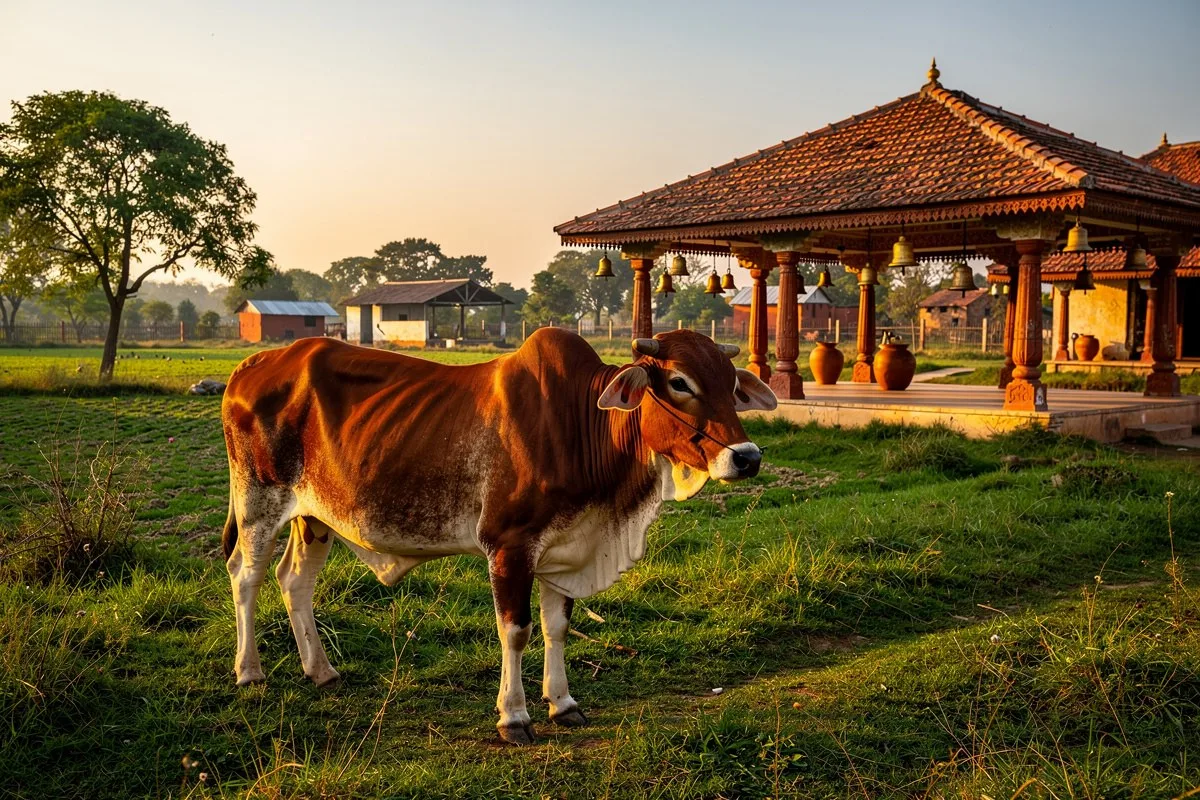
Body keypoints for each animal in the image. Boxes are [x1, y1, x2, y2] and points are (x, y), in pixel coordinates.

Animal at [220, 328, 777, 744]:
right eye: (680, 382)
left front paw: (563, 703)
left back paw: (321, 670)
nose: (747, 457)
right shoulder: (510, 546)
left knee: (295, 582)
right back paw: (249, 671)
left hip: (314, 516)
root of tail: (255, 363)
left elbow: (557, 627)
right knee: (245, 576)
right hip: (257, 502)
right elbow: (517, 631)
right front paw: (514, 716)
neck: (583, 424)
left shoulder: (564, 548)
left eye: (731, 383)